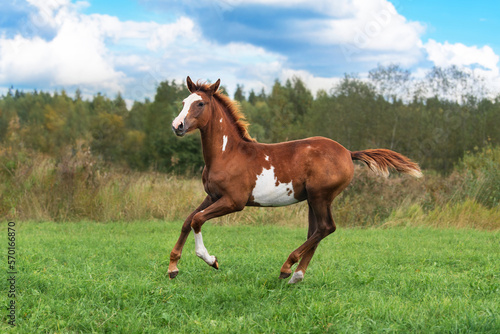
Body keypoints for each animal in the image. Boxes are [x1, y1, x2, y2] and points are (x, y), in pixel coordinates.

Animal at [169, 77, 422, 284]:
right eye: (183, 102)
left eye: (200, 104)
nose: (177, 126)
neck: (227, 153)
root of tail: (348, 152)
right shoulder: (212, 196)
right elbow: (187, 220)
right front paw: (173, 267)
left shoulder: (234, 201)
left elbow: (198, 220)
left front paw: (211, 260)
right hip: (313, 199)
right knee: (316, 231)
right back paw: (296, 275)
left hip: (321, 196)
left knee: (326, 227)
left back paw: (286, 267)